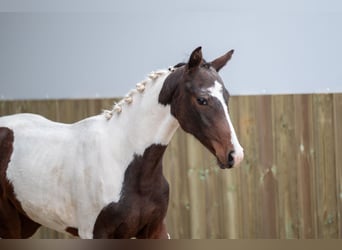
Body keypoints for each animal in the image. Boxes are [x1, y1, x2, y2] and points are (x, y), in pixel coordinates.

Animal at [0, 46, 243, 238]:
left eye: (227, 98)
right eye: (202, 99)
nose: (235, 154)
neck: (123, 160)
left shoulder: (155, 230)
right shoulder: (95, 234)